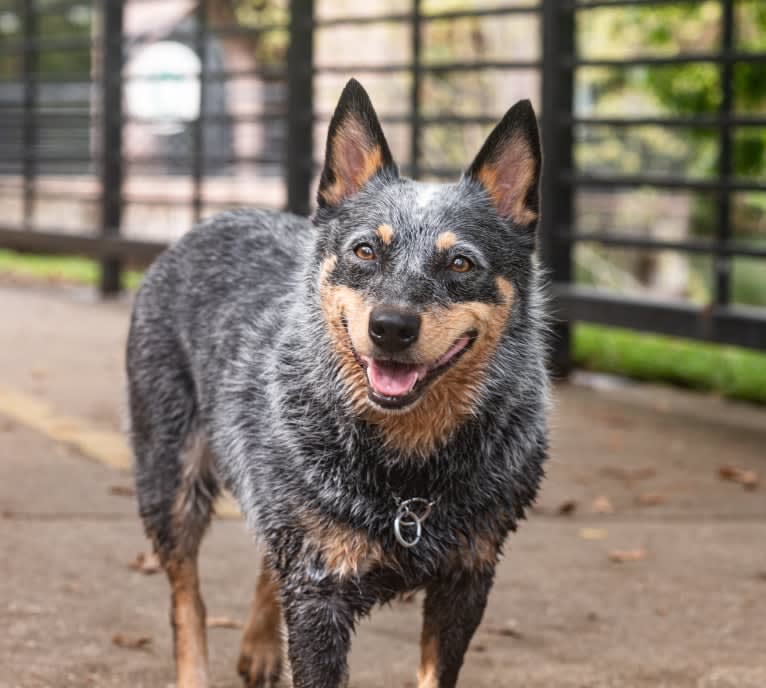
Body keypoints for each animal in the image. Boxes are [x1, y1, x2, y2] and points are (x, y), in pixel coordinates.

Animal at [129, 80, 552, 688]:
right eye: (364, 250)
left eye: (461, 263)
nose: (391, 327)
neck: (409, 477)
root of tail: (215, 218)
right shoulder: (319, 592)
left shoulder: (467, 577)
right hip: (169, 476)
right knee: (188, 595)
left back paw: (261, 646)